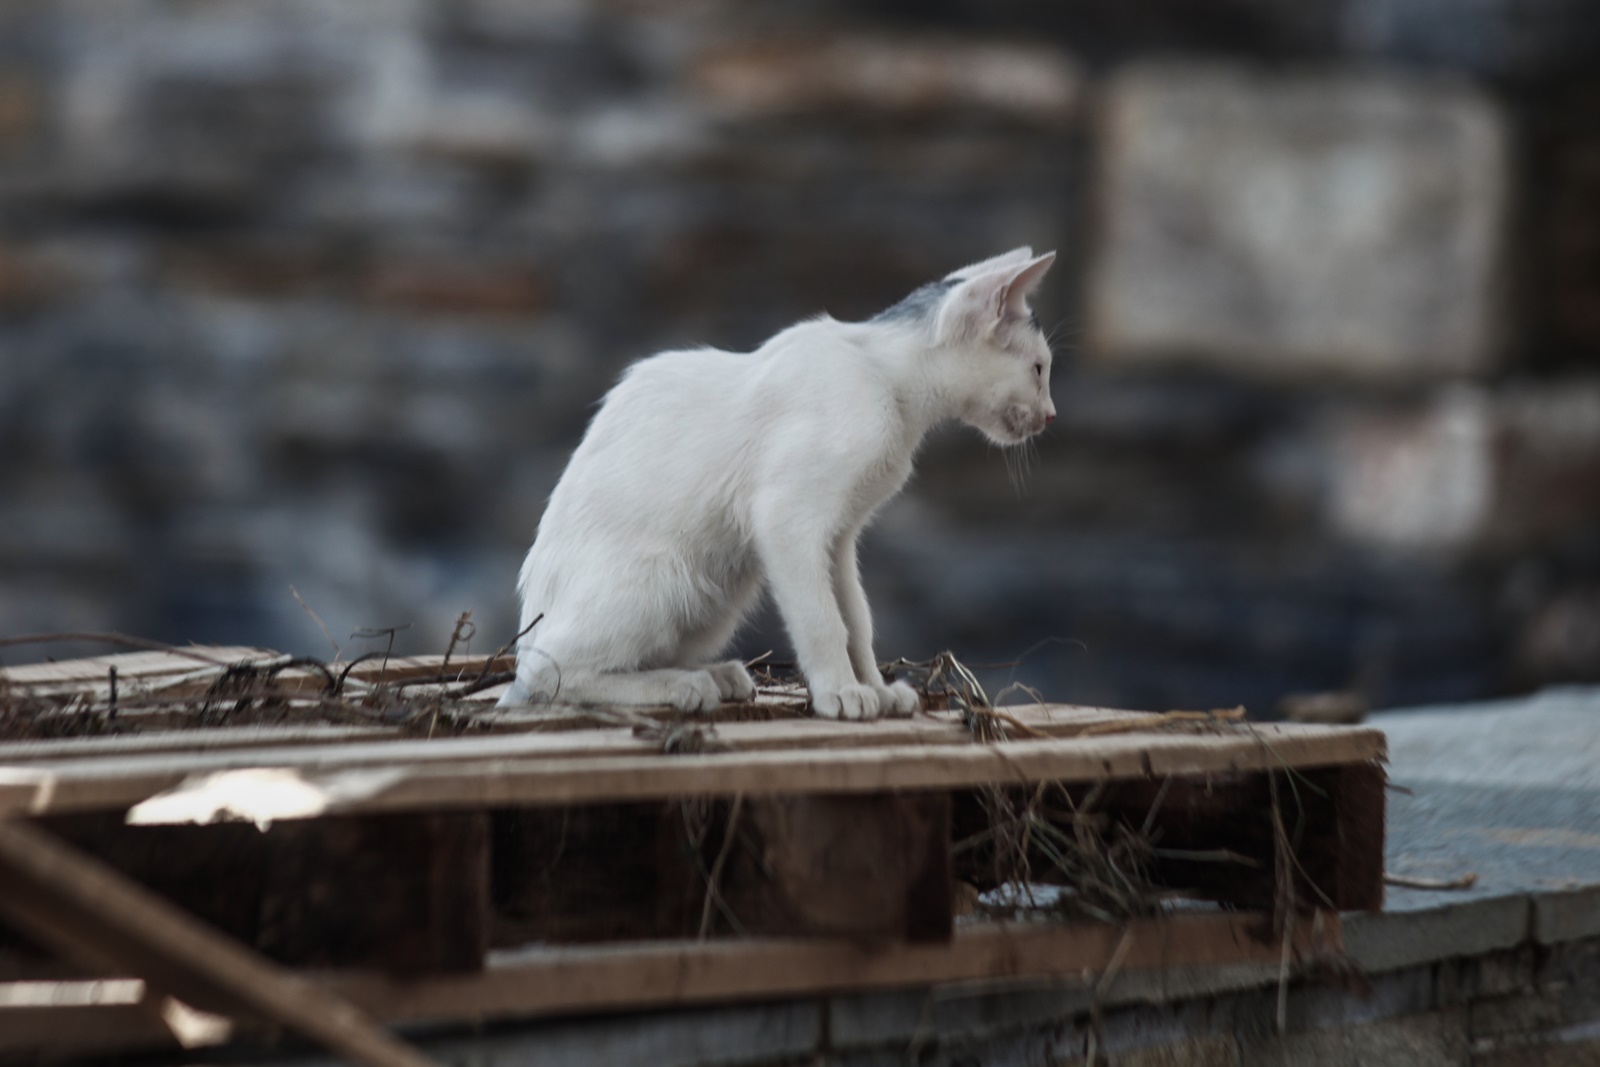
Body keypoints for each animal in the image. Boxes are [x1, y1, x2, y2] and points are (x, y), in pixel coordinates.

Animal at [492, 246, 1056, 723]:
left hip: (718, 596)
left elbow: (857, 619)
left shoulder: (840, 537)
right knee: (543, 675)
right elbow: (823, 620)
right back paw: (679, 686)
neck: (885, 379)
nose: (1051, 415)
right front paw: (840, 692)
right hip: (666, 577)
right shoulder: (788, 518)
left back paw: (711, 674)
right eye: (1039, 368)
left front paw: (875, 687)